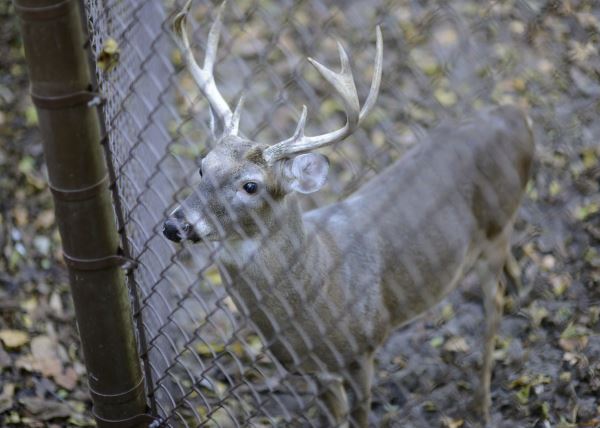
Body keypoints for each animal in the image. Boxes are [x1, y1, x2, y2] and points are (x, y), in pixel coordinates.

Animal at [163, 1, 535, 426]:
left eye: (251, 186)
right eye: (202, 165)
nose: (175, 224)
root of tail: (519, 117)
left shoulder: (363, 347)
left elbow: (359, 414)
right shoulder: (315, 370)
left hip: (497, 227)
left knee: (494, 308)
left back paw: (481, 404)